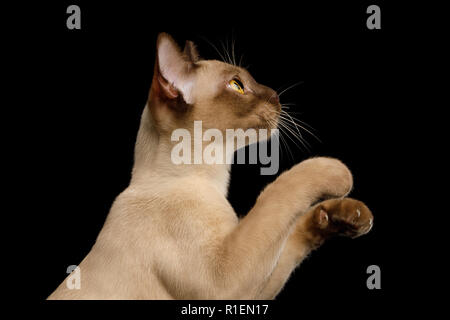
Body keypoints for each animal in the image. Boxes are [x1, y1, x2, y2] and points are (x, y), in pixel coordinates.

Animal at [48, 32, 372, 300]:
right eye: (237, 85)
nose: (276, 96)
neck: (213, 179)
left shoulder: (254, 284)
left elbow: (293, 234)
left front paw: (346, 216)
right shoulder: (224, 277)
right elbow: (279, 192)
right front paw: (337, 171)